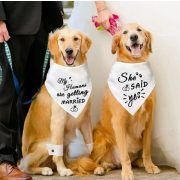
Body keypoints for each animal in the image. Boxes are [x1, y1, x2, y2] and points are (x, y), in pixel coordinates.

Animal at [19, 27, 93, 176]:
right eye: (62, 39)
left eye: (76, 39)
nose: (69, 51)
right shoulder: (58, 121)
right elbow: (57, 153)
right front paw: (63, 170)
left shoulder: (85, 118)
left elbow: (90, 145)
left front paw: (94, 163)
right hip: (45, 144)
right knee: (26, 165)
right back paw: (45, 169)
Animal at [70, 22, 160, 180]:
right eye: (124, 32)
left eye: (139, 30)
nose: (133, 37)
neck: (135, 65)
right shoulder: (119, 120)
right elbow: (124, 154)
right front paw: (127, 172)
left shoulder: (149, 118)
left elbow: (147, 149)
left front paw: (149, 165)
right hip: (100, 138)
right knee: (92, 161)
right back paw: (99, 169)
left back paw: (137, 163)